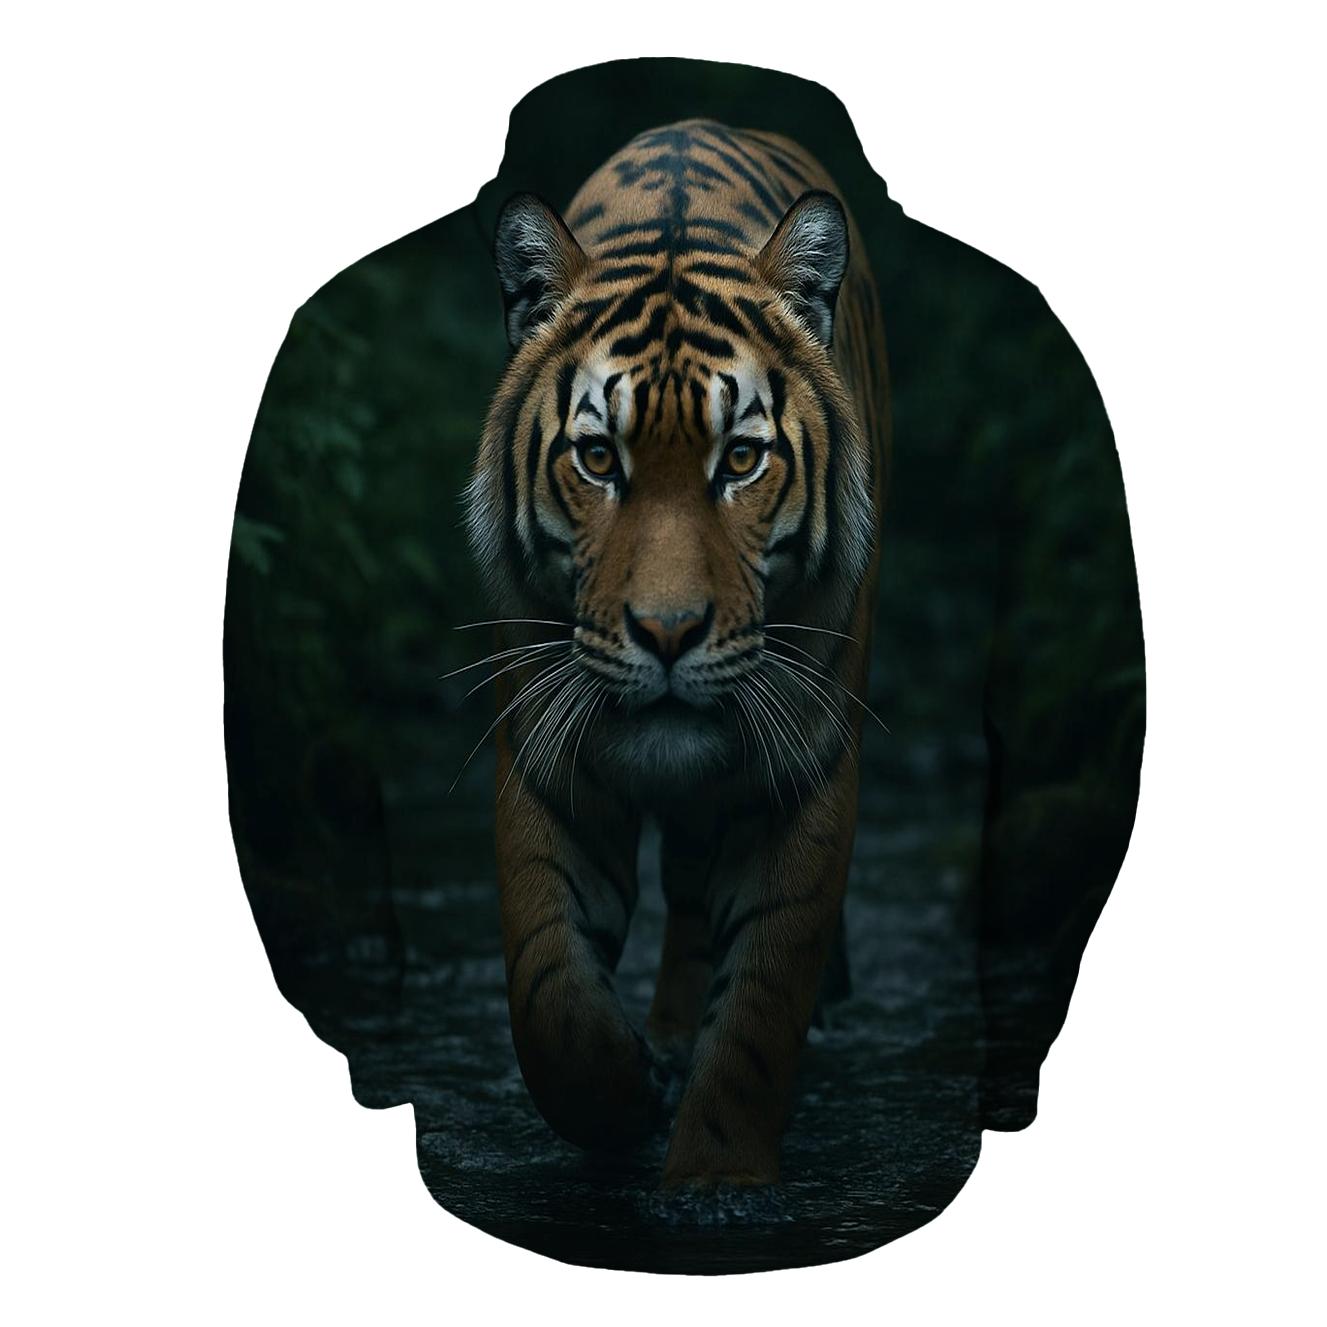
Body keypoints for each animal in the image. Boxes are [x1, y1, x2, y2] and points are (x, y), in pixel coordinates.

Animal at [464, 119, 890, 1187]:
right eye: (597, 459)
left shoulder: (803, 766)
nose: (665, 632)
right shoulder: (546, 752)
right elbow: (548, 991)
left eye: (739, 459)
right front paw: (622, 1093)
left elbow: (759, 1014)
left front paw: (713, 1181)